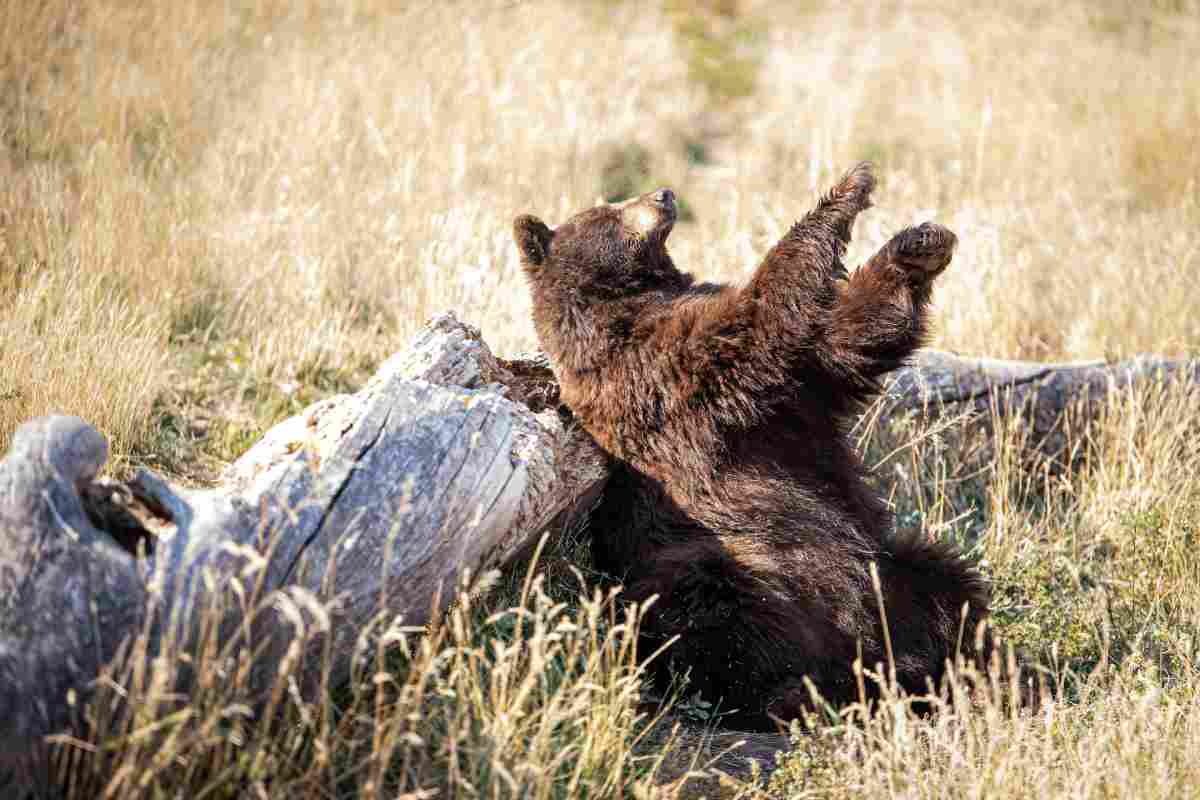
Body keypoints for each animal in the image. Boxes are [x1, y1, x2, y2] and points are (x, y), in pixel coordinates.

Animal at [516, 164, 993, 734]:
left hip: (887, 570)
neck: (626, 301)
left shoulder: (793, 394)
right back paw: (789, 694)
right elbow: (759, 319)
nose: (664, 195)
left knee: (940, 582)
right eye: (609, 208)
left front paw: (920, 244)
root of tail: (847, 643)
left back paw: (949, 665)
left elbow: (846, 340)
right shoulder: (656, 368)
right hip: (724, 556)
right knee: (708, 605)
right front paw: (846, 192)